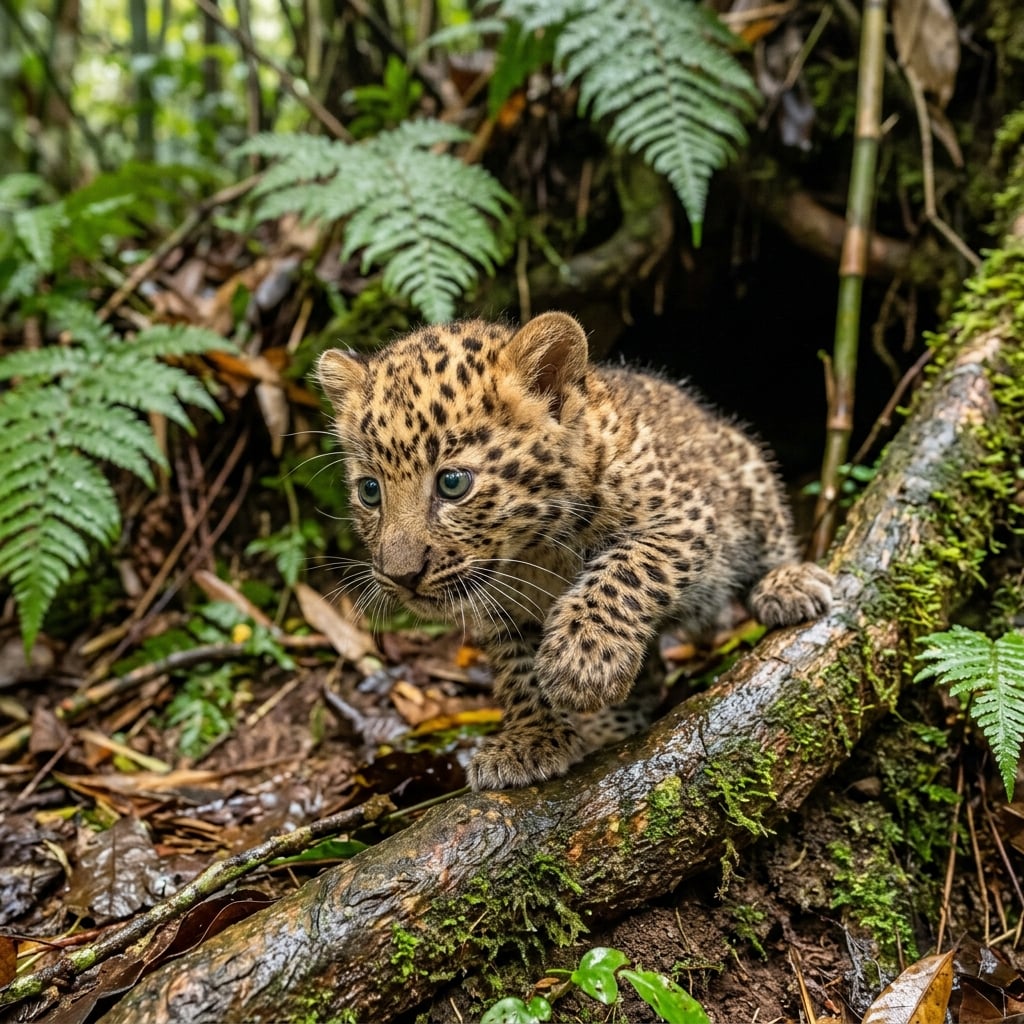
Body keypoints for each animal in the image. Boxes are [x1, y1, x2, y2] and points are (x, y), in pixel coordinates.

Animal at [317, 311, 833, 790]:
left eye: (453, 483)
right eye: (369, 491)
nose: (400, 576)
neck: (535, 553)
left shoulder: (685, 519)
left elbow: (626, 569)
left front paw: (580, 661)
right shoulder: (502, 612)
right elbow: (518, 669)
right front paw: (532, 739)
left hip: (749, 480)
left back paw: (788, 584)